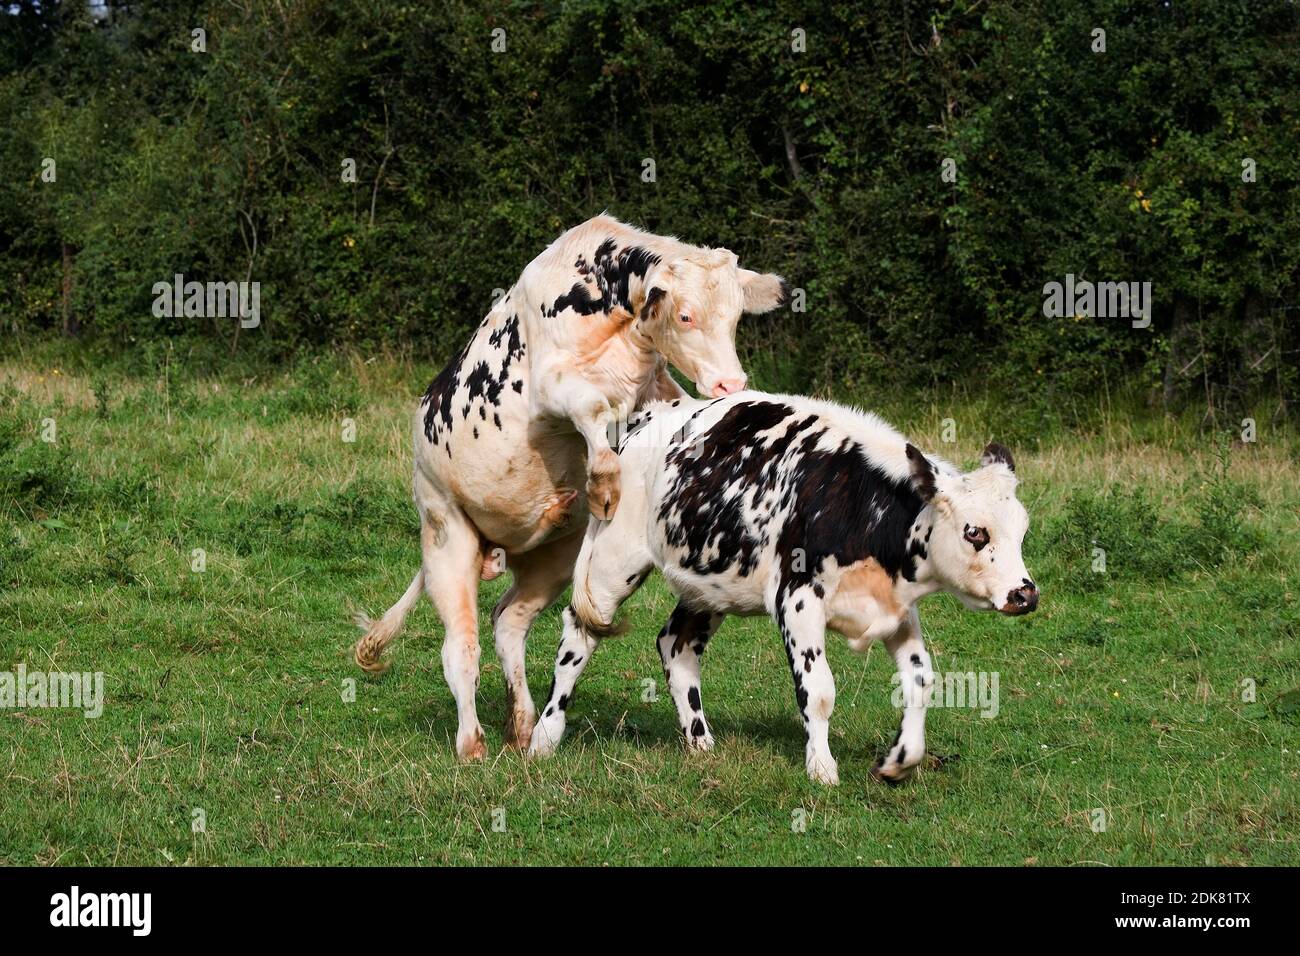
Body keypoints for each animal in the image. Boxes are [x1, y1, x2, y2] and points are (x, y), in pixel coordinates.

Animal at [351, 215, 788, 761]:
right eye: (685, 315)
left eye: (734, 319)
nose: (731, 383)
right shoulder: (551, 385)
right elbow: (592, 409)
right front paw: (602, 482)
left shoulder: (657, 389)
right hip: (446, 532)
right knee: (461, 648)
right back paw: (472, 744)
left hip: (554, 557)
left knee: (509, 624)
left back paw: (522, 727)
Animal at [527, 392, 1039, 785]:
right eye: (976, 532)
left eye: (1022, 530)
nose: (1025, 593)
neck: (862, 505)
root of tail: (649, 416)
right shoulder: (798, 598)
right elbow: (818, 690)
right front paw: (822, 769)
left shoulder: (895, 608)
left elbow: (920, 681)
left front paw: (899, 761)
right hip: (615, 558)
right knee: (579, 634)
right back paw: (544, 736)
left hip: (708, 581)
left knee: (675, 645)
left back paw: (700, 741)